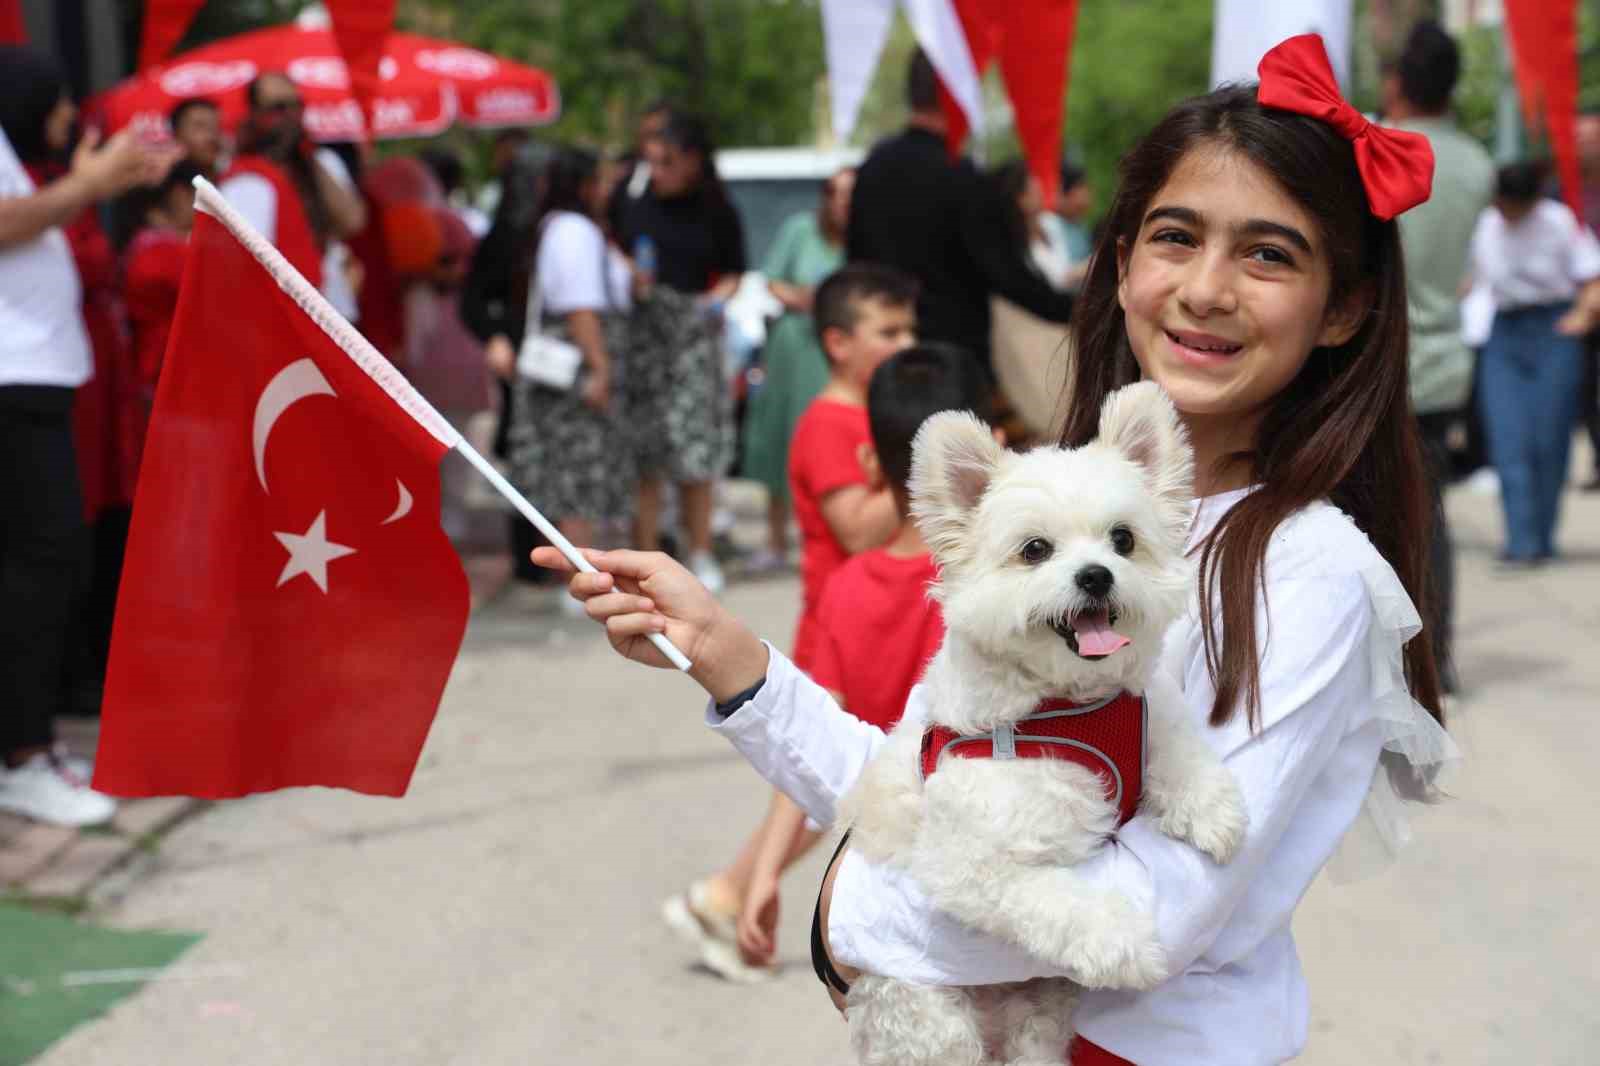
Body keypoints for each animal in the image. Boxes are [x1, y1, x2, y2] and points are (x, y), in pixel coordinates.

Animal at [838, 382, 1248, 1062]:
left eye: (1122, 540)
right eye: (1035, 551)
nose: (1096, 575)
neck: (1067, 706)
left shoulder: (1143, 711)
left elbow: (1174, 742)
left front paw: (1209, 806)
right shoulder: (969, 864)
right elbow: (1055, 901)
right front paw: (1122, 945)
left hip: (1037, 1012)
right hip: (926, 1015)